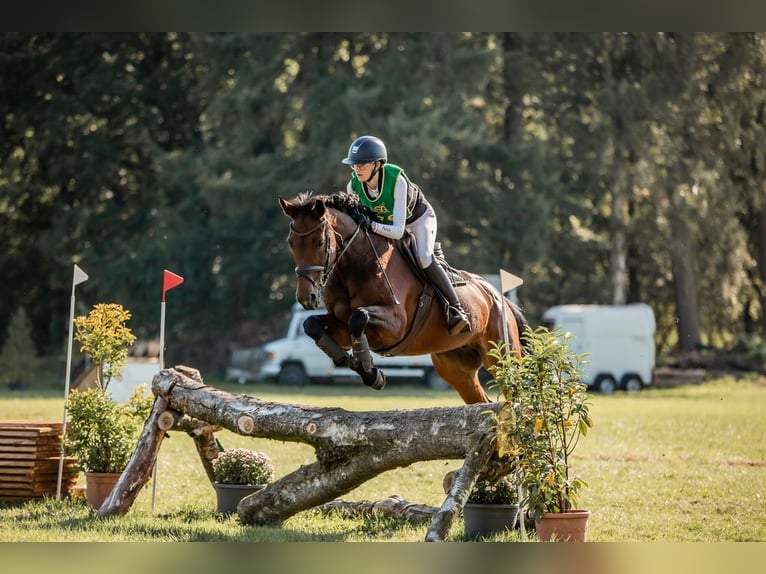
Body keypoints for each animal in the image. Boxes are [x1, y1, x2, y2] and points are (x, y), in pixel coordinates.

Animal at [280, 190, 532, 404]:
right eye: (291, 243)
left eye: (321, 242)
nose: (307, 297)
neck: (355, 266)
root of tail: (496, 296)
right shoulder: (340, 325)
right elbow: (312, 324)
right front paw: (349, 361)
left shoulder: (395, 325)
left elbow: (358, 317)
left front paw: (369, 371)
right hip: (455, 367)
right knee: (483, 403)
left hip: (502, 357)